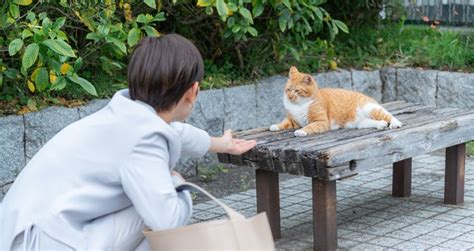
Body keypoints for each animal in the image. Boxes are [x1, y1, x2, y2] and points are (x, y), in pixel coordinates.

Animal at [270, 66, 404, 136]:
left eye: (297, 91)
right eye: (288, 89)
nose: (290, 96)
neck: (298, 105)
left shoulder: (320, 121)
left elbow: (309, 127)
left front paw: (300, 132)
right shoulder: (293, 120)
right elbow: (284, 123)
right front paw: (275, 126)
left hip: (371, 109)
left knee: (390, 116)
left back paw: (395, 124)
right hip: (361, 123)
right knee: (378, 121)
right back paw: (381, 125)